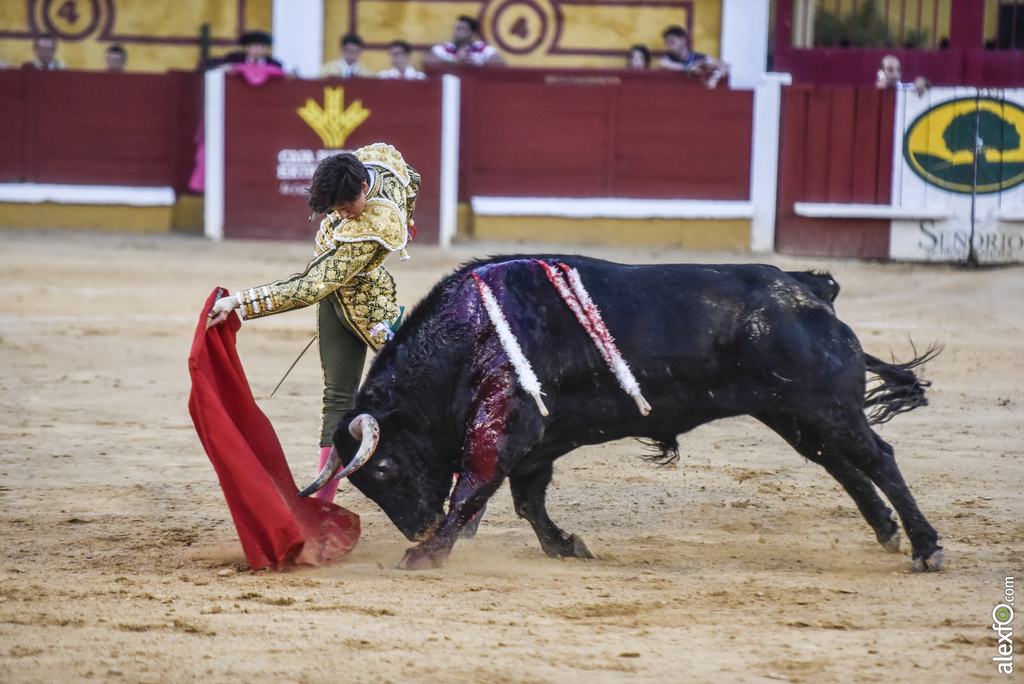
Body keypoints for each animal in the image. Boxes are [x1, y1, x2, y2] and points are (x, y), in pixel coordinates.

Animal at [299, 254, 942, 573]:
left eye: (382, 470)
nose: (417, 527)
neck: (470, 333)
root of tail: (811, 290)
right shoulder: (538, 442)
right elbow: (527, 500)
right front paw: (567, 546)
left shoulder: (506, 424)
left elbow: (476, 486)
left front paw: (425, 555)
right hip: (797, 414)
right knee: (841, 462)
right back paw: (889, 533)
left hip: (826, 406)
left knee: (878, 458)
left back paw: (925, 547)